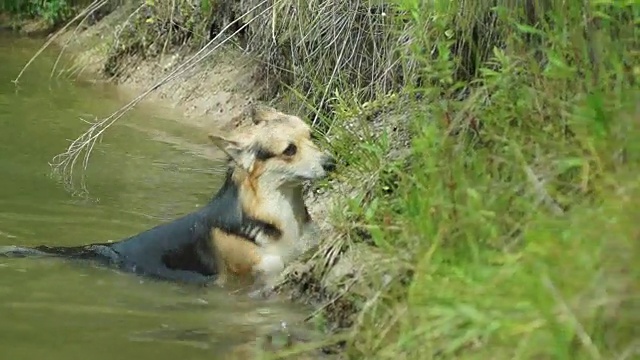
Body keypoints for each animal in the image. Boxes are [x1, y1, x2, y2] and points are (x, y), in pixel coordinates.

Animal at [0, 104, 338, 292]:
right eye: (289, 150)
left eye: (312, 136)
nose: (332, 162)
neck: (276, 212)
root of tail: (108, 250)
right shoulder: (256, 274)